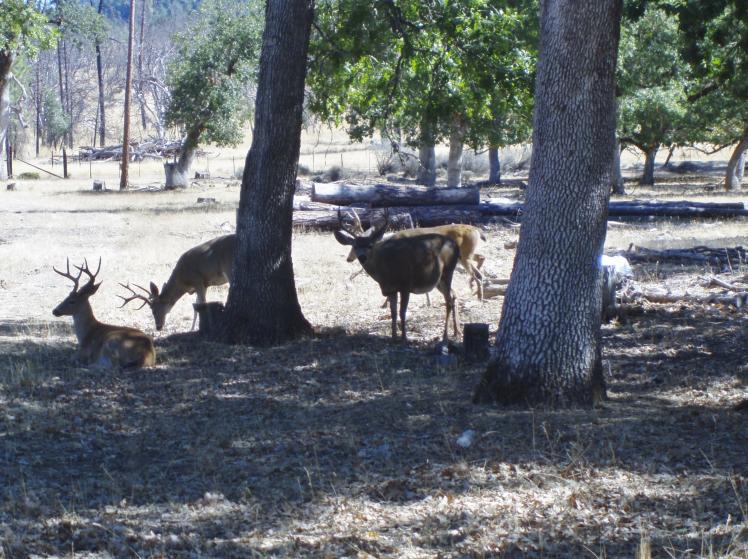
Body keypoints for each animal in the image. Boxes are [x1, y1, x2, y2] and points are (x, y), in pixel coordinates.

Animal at [334, 212, 462, 344]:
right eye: (354, 246)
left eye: (370, 245)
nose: (362, 257)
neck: (385, 271)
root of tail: (455, 245)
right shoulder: (390, 289)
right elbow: (393, 312)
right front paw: (394, 337)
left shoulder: (405, 285)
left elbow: (402, 312)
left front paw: (404, 337)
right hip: (438, 280)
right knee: (453, 296)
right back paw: (456, 332)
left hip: (447, 272)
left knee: (449, 301)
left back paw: (445, 336)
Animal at [344, 209, 488, 298]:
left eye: (354, 247)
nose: (349, 258)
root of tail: (477, 229)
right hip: (467, 254)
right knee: (481, 260)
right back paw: (475, 290)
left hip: (465, 255)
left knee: (478, 273)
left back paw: (478, 294)